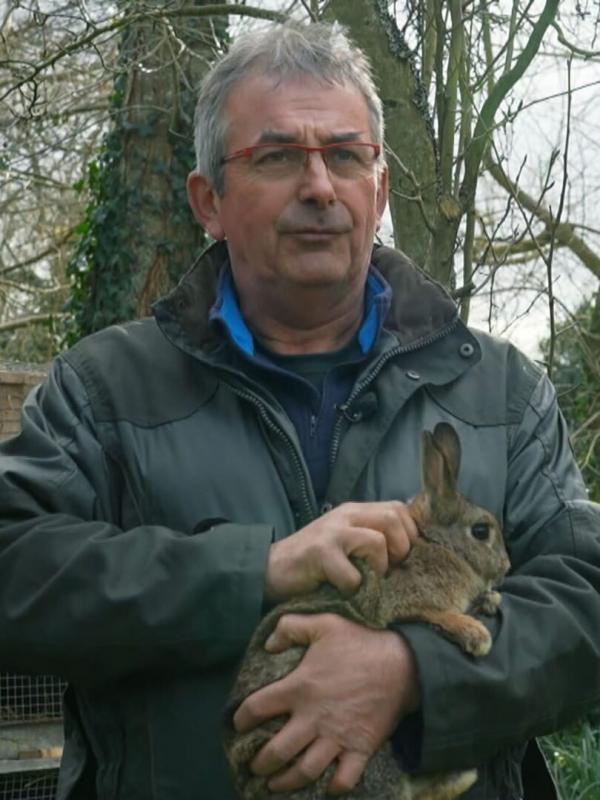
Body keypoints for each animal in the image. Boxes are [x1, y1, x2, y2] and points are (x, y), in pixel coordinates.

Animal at [223, 422, 511, 800]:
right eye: (481, 531)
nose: (506, 565)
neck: (438, 543)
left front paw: (490, 600)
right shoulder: (399, 599)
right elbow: (430, 614)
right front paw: (475, 633)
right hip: (361, 761)